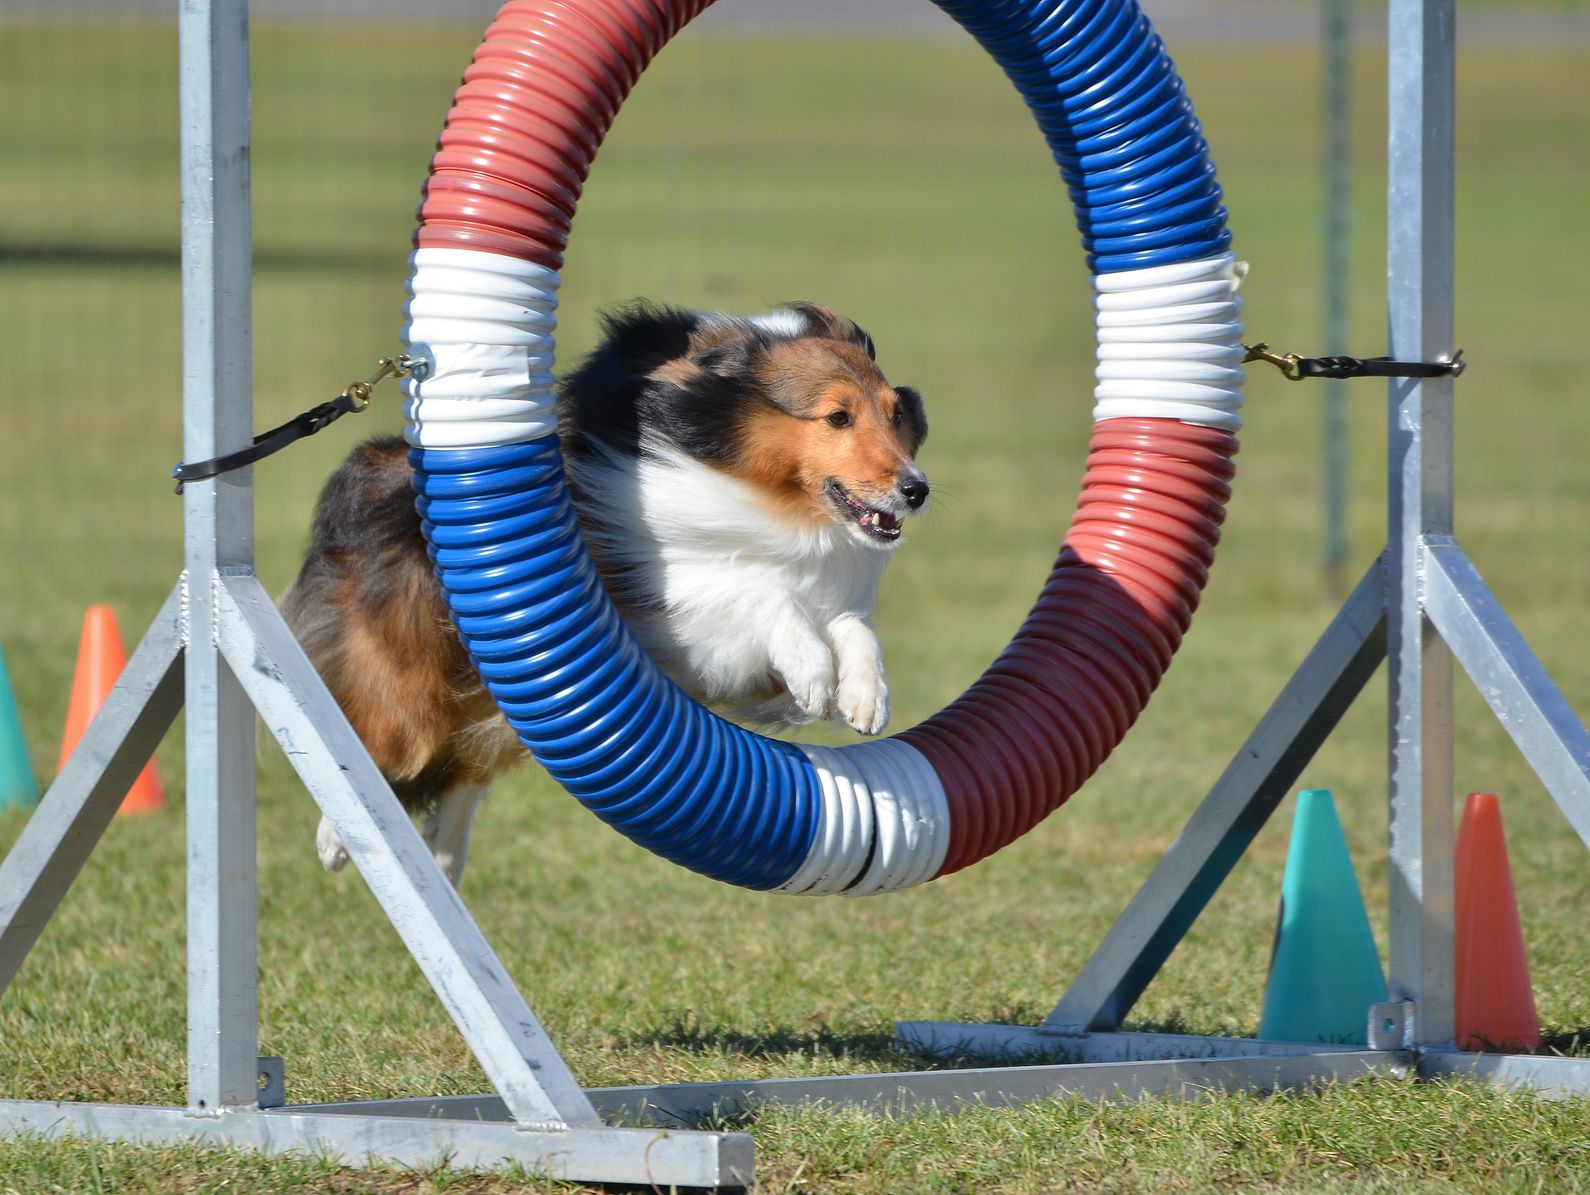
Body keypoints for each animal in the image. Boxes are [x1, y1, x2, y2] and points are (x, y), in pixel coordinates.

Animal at [283, 305, 928, 889]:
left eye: (895, 413)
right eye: (838, 416)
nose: (916, 489)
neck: (770, 500)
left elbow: (849, 625)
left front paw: (865, 695)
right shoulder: (659, 598)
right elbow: (753, 589)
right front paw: (814, 671)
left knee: (461, 772)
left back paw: (440, 857)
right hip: (411, 684)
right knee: (376, 744)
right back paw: (339, 839)